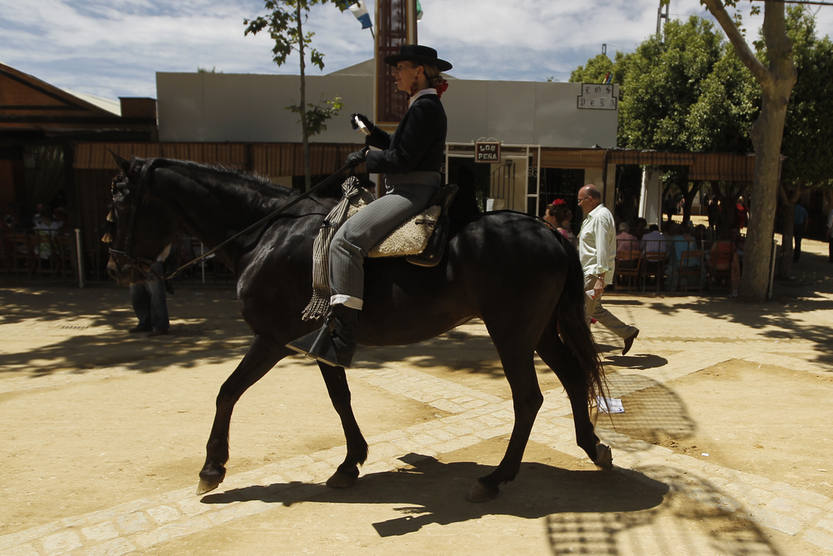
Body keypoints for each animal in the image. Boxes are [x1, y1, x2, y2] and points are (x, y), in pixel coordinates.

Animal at [104, 156, 612, 504]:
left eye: (119, 202)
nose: (115, 267)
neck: (268, 234)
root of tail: (548, 233)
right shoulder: (321, 341)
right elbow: (340, 398)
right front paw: (350, 464)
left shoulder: (272, 339)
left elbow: (227, 391)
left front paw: (212, 467)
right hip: (539, 332)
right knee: (571, 379)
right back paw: (593, 448)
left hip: (512, 334)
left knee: (528, 398)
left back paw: (496, 477)